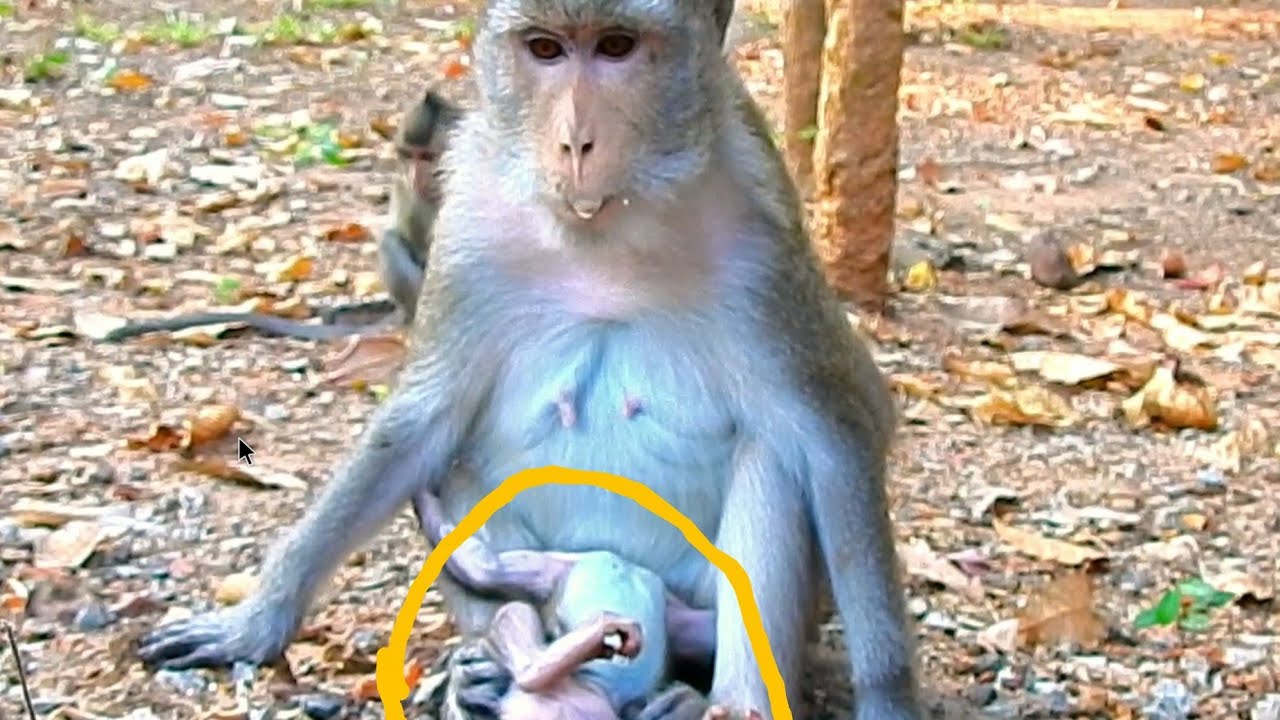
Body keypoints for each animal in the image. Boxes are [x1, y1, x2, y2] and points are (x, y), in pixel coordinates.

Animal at [136, 1, 923, 719]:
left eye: (617, 47)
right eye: (545, 49)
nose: (575, 142)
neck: (608, 231)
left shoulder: (765, 241)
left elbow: (836, 437)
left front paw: (888, 698)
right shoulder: (468, 228)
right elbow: (419, 426)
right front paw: (255, 620)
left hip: (692, 597)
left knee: (772, 460)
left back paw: (708, 702)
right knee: (467, 503)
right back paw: (494, 673)